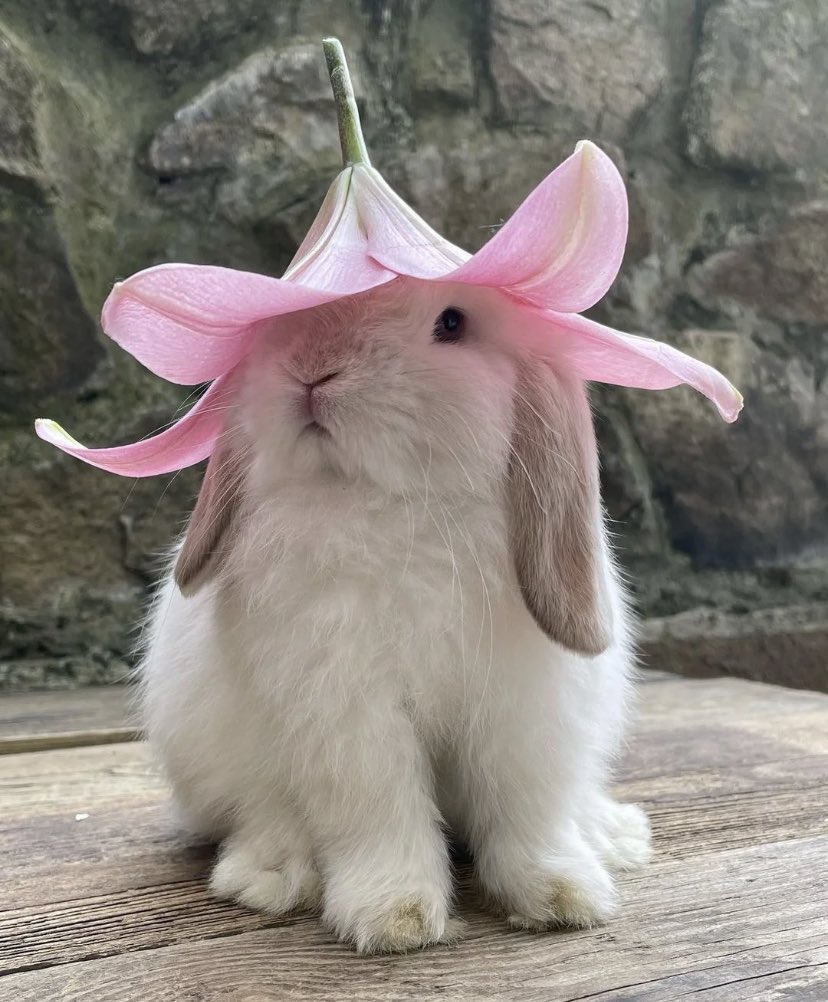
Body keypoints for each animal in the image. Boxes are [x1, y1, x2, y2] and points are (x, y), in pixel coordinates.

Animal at [139, 275, 652, 954]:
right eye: (282, 319)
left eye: (453, 323)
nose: (313, 367)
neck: (398, 508)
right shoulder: (349, 713)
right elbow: (379, 808)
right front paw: (394, 916)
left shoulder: (526, 714)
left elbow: (527, 811)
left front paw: (563, 896)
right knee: (262, 813)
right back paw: (269, 876)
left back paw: (615, 836)